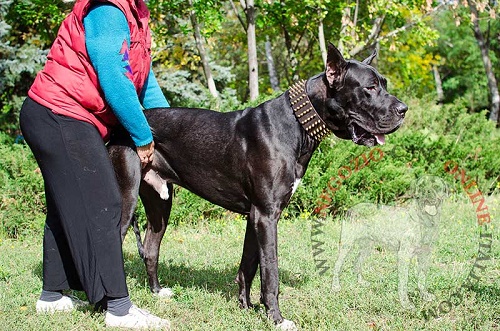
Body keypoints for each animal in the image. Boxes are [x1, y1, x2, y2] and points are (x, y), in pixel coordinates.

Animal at [108, 43, 406, 330]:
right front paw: (276, 318)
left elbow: (248, 265)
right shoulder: (266, 215)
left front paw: (246, 307)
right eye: (370, 87)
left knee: (151, 248)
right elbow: (270, 271)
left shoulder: (255, 215)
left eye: (383, 83)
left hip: (160, 203)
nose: (403, 110)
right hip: (126, 198)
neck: (297, 124)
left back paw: (157, 292)